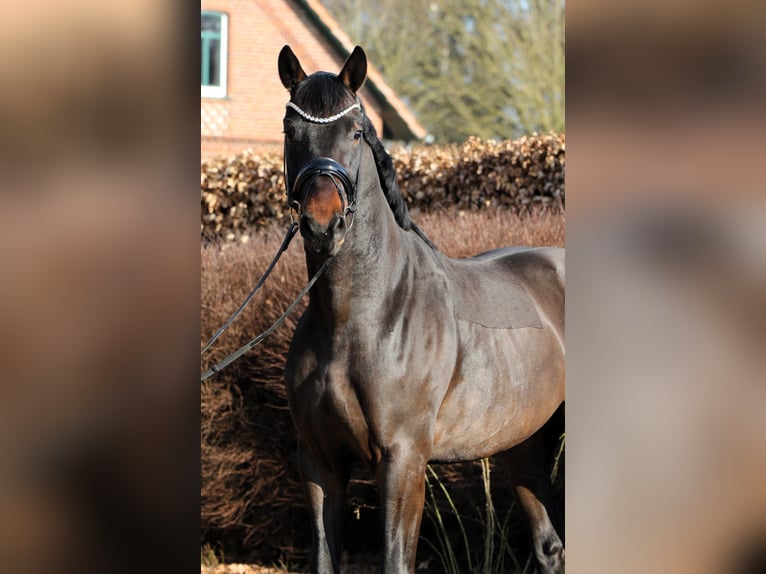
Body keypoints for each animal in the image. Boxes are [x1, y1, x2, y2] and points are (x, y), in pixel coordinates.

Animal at [276, 46, 564, 574]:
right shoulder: (320, 461)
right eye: (290, 130)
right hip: (525, 446)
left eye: (355, 131)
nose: (322, 223)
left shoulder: (403, 459)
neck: (359, 320)